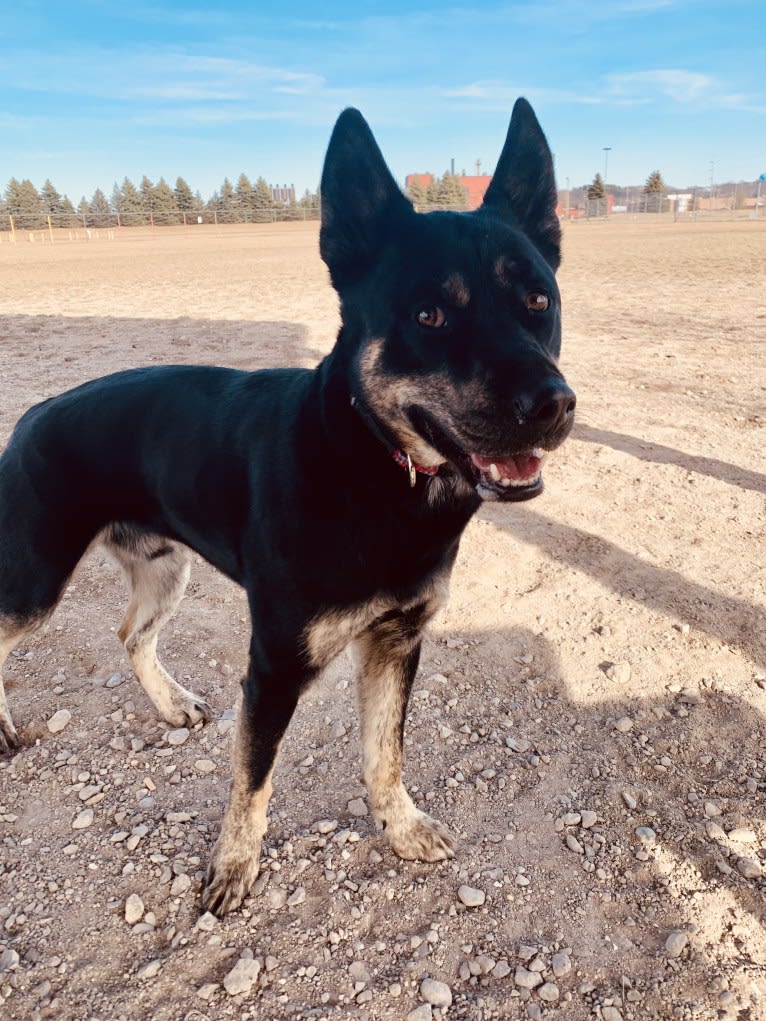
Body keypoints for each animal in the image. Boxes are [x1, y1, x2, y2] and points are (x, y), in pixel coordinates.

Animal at [0, 101, 576, 918]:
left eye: (538, 301)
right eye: (428, 314)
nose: (554, 404)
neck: (373, 465)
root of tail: (34, 413)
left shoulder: (396, 640)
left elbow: (384, 752)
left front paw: (399, 826)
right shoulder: (273, 666)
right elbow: (253, 781)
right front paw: (234, 866)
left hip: (163, 569)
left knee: (131, 635)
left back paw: (171, 704)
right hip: (34, 582)